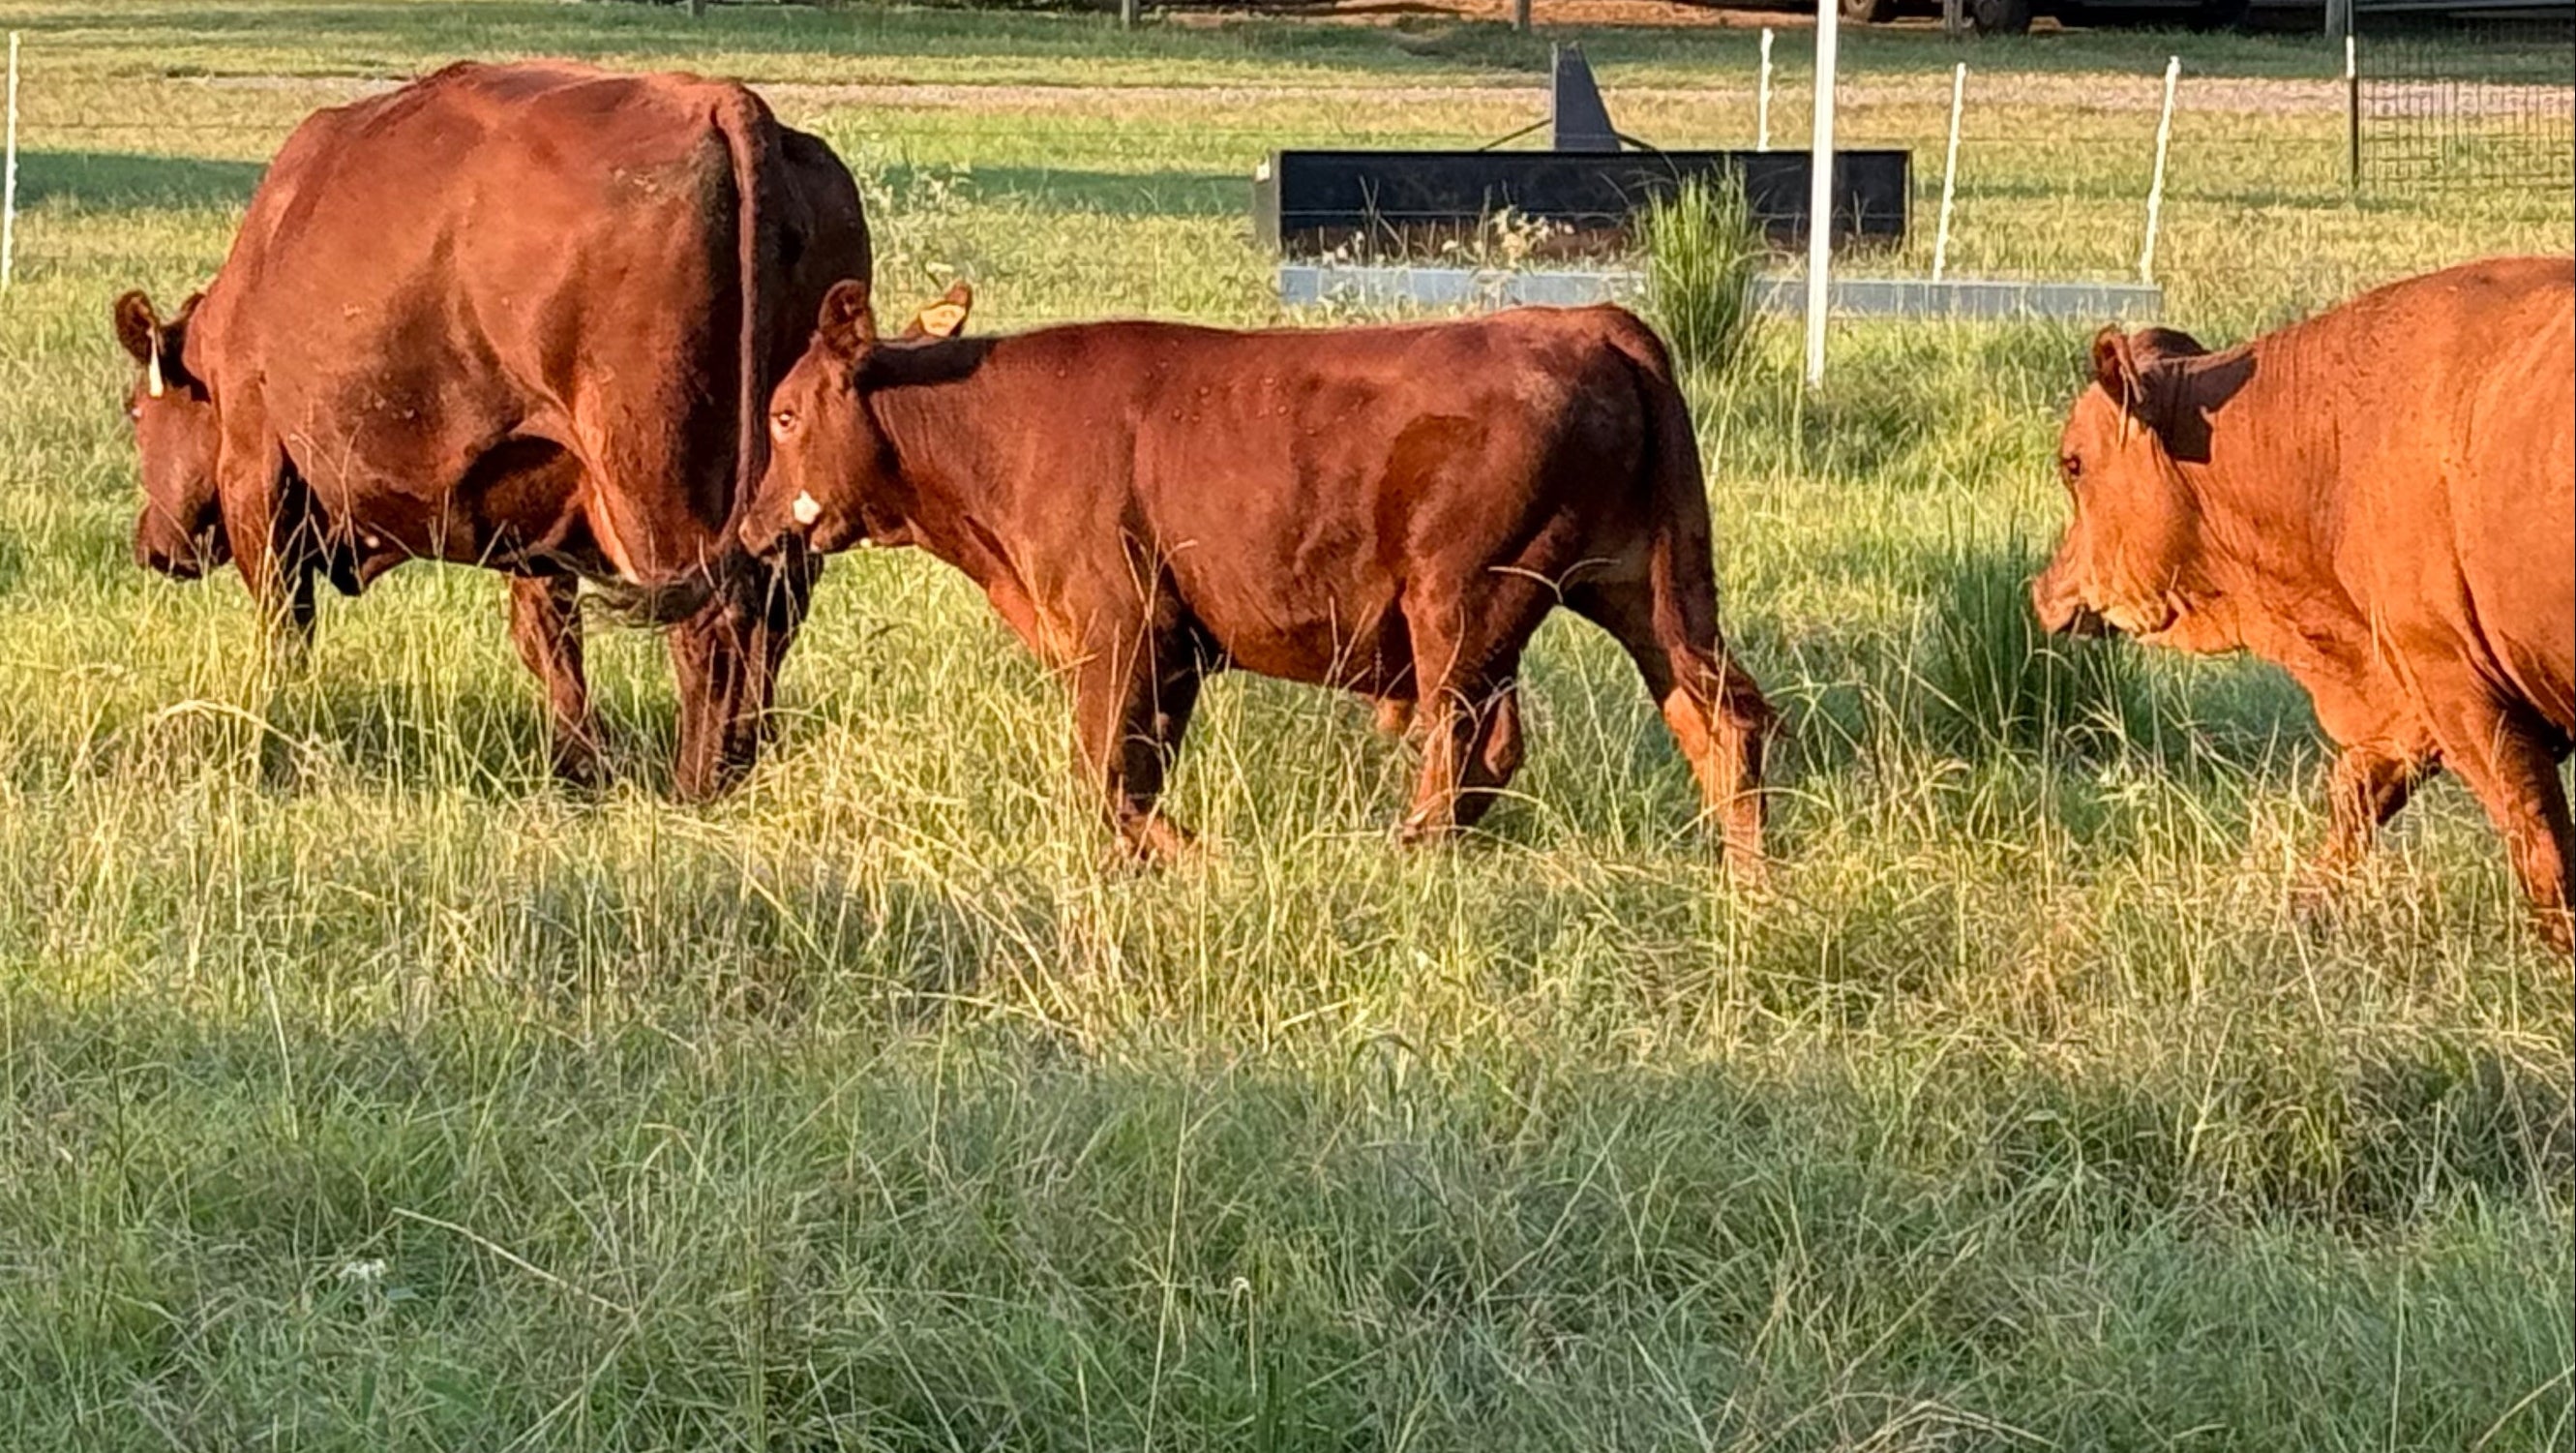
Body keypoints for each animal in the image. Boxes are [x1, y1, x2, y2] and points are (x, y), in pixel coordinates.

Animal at [111, 60, 870, 799]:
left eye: (136, 410)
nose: (151, 544)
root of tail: (724, 103)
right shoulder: (541, 520)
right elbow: (548, 639)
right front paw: (577, 768)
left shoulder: (259, 480)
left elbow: (285, 625)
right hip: (775, 491)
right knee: (775, 613)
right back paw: (742, 761)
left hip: (657, 491)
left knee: (714, 621)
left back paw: (694, 782)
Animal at [736, 279, 1778, 873]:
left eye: (783, 414)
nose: (750, 524)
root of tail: (1592, 324)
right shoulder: (1173, 652)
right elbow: (1133, 776)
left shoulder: (1117, 629)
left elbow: (1103, 776)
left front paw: (1200, 860)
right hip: (1650, 590)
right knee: (1721, 717)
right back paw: (1747, 880)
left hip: (1462, 599)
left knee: (1470, 745)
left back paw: (1406, 853)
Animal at [2033, 255, 2575, 951]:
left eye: (2073, 464)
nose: (2045, 590)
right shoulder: (2410, 685)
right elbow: (2359, 794)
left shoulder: (2457, 684)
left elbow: (2543, 850)